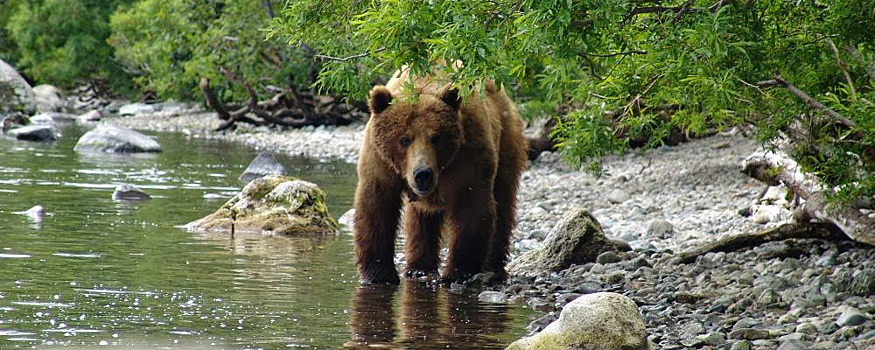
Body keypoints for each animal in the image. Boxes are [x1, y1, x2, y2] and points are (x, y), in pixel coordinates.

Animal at [354, 68, 528, 284]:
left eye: (436, 137)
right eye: (404, 139)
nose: (423, 174)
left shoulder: (468, 158)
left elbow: (472, 210)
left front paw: (458, 273)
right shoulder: (381, 163)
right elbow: (377, 209)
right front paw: (378, 274)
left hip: (506, 141)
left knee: (503, 202)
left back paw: (494, 266)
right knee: (419, 219)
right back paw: (419, 268)